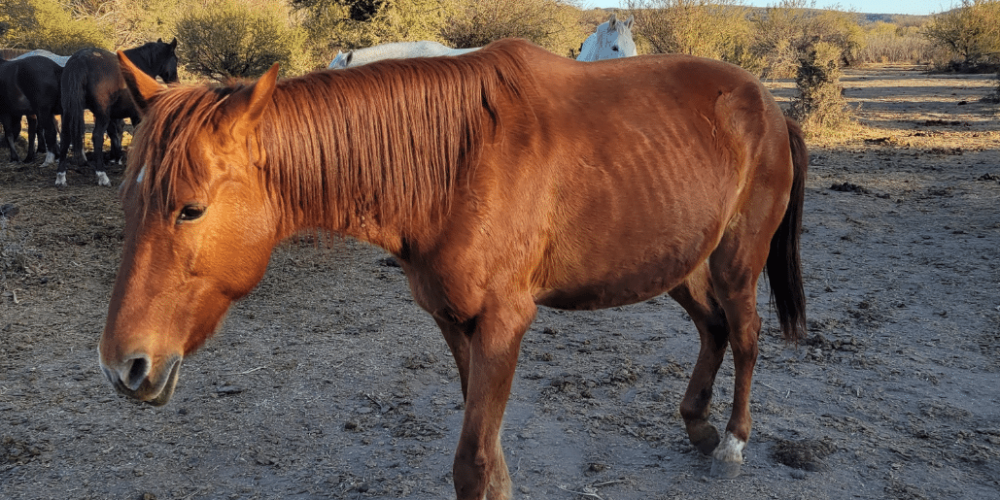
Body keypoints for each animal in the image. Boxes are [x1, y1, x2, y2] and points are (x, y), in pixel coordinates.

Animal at [99, 40, 804, 500]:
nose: (123, 366)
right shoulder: (453, 319)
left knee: (745, 335)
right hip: (679, 263)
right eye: (129, 201)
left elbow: (471, 461)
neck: (459, 163)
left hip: (735, 261)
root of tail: (769, 106)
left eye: (191, 209)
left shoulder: (503, 323)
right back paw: (699, 426)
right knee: (713, 328)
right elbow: (485, 455)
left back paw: (733, 443)